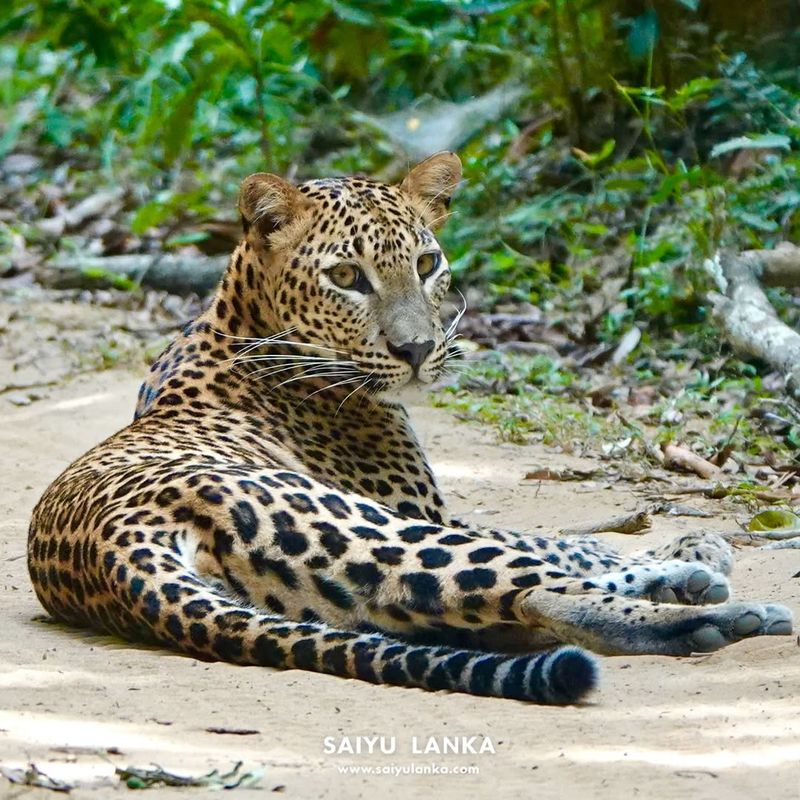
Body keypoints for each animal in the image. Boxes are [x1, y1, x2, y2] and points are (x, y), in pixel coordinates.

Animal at [26, 153, 792, 704]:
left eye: (427, 265)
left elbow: (559, 541)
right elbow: (556, 541)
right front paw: (693, 543)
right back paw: (715, 604)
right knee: (530, 587)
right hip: (364, 527)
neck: (240, 320)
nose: (418, 349)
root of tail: (114, 553)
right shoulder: (419, 509)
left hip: (347, 593)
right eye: (346, 276)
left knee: (503, 606)